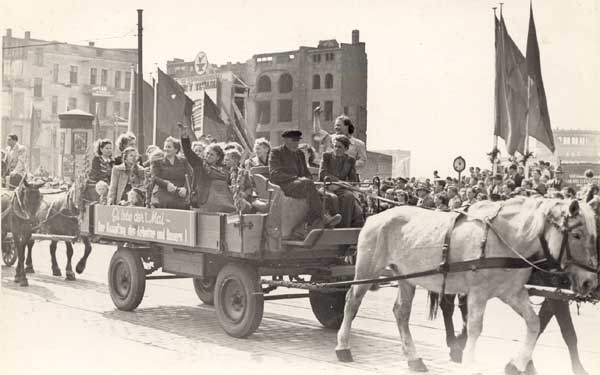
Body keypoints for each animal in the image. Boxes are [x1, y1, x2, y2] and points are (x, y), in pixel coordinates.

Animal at [336, 198, 596, 374]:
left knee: (401, 312)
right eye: (577, 235)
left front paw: (516, 364)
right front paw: (469, 364)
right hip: (367, 270)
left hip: (406, 277)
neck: (505, 239)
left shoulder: (512, 293)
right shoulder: (478, 293)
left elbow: (534, 324)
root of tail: (375, 216)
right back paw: (343, 348)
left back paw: (414, 359)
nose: (590, 281)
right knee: (352, 301)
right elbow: (474, 328)